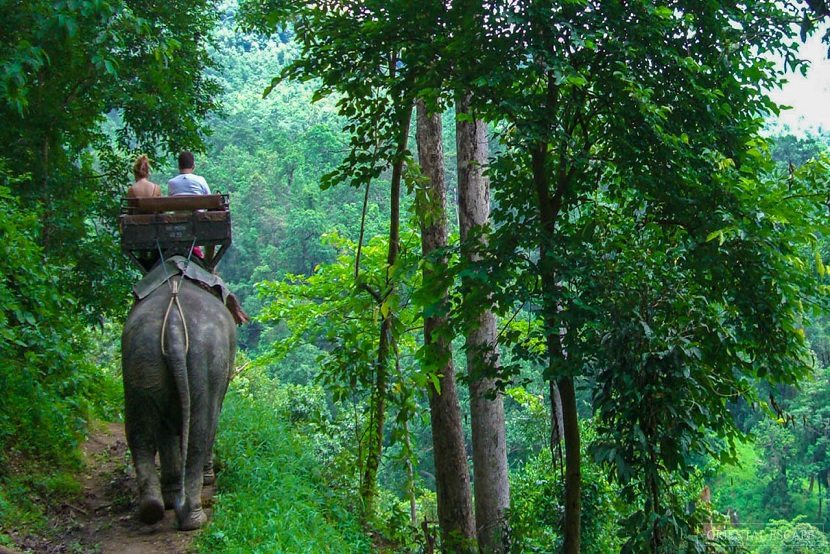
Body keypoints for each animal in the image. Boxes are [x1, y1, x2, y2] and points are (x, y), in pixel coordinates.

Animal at [122, 278, 236, 528]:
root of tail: (174, 323)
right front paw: (208, 477)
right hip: (205, 360)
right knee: (199, 430)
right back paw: (193, 517)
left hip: (141, 358)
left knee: (140, 431)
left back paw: (154, 508)